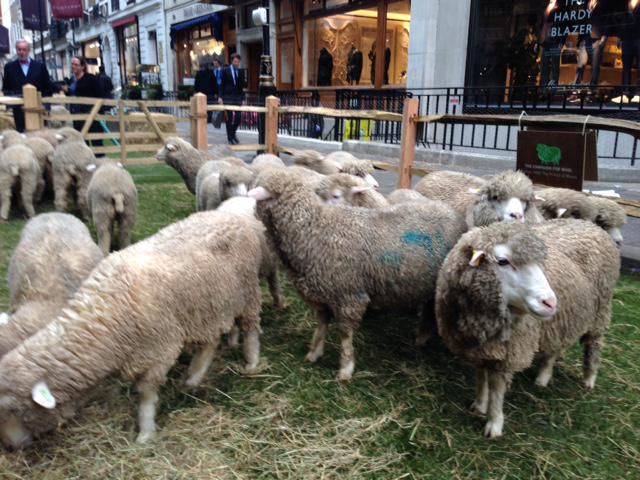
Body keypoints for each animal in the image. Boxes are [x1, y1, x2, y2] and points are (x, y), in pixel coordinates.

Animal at [249, 168, 467, 380]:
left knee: (430, 310)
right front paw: (314, 353)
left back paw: (421, 337)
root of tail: (452, 213)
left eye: (336, 196)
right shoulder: (321, 295)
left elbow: (345, 334)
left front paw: (346, 369)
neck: (314, 228)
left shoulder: (349, 296)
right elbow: (321, 326)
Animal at [435, 220, 619, 438]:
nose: (550, 303)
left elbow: (497, 389)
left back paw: (589, 379)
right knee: (553, 349)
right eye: (503, 261)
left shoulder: (510, 351)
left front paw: (494, 423)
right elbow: (481, 377)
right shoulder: (481, 348)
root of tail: (589, 224)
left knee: (594, 345)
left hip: (600, 310)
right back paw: (543, 378)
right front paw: (479, 405)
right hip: (558, 323)